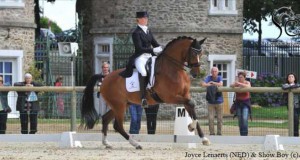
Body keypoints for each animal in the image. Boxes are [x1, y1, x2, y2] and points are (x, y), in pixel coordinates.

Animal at [81, 36, 210, 149]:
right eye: (193, 53)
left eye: (201, 54)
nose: (196, 73)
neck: (173, 69)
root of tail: (105, 77)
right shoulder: (169, 97)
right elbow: (192, 103)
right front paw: (191, 127)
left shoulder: (184, 96)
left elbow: (192, 109)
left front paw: (203, 138)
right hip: (119, 106)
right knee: (117, 125)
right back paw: (136, 144)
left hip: (121, 104)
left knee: (105, 119)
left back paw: (106, 143)